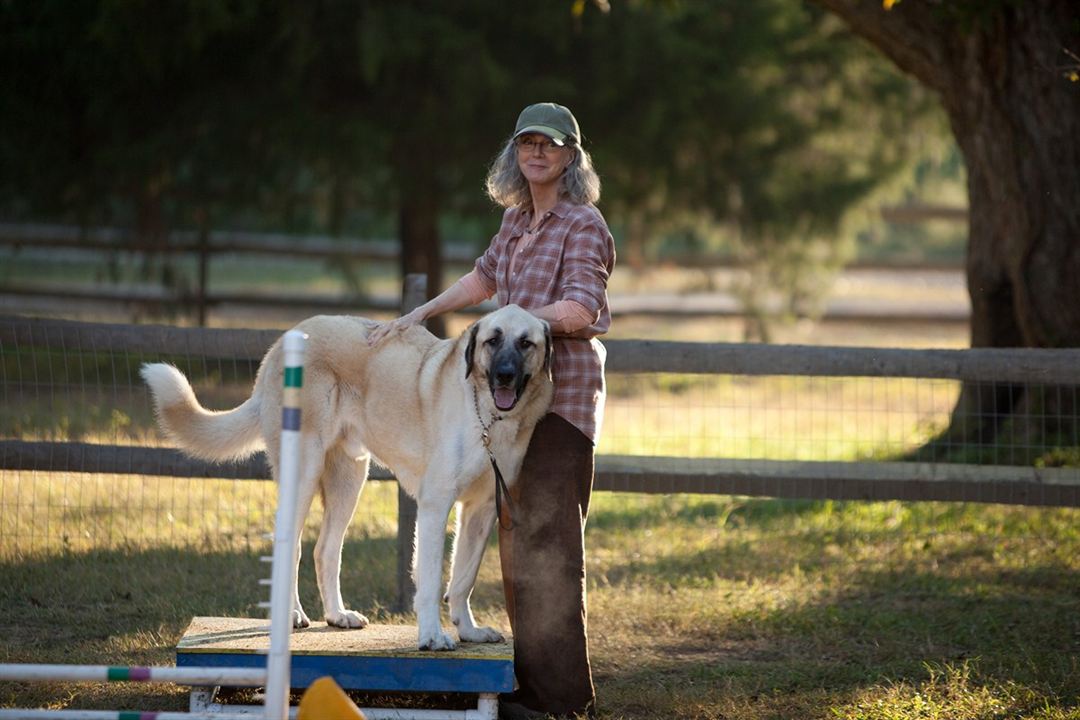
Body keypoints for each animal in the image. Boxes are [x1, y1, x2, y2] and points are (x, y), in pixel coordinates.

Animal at [140, 304, 552, 651]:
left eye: (526, 343)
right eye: (492, 340)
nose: (505, 376)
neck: (489, 418)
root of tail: (283, 342)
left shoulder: (481, 510)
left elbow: (463, 578)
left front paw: (468, 630)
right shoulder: (436, 505)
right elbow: (433, 579)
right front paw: (432, 636)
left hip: (350, 478)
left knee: (325, 549)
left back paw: (338, 615)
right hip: (304, 472)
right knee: (291, 545)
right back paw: (291, 614)